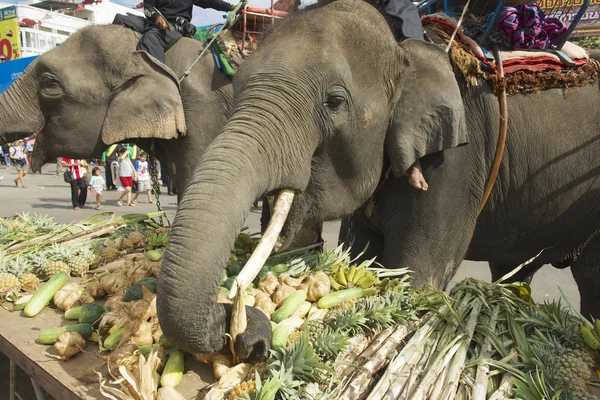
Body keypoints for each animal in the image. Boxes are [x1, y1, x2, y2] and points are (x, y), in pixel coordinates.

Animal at [156, 0, 600, 356]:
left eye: (334, 102)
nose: (253, 340)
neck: (403, 48)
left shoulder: (455, 160)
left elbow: (418, 276)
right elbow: (360, 258)